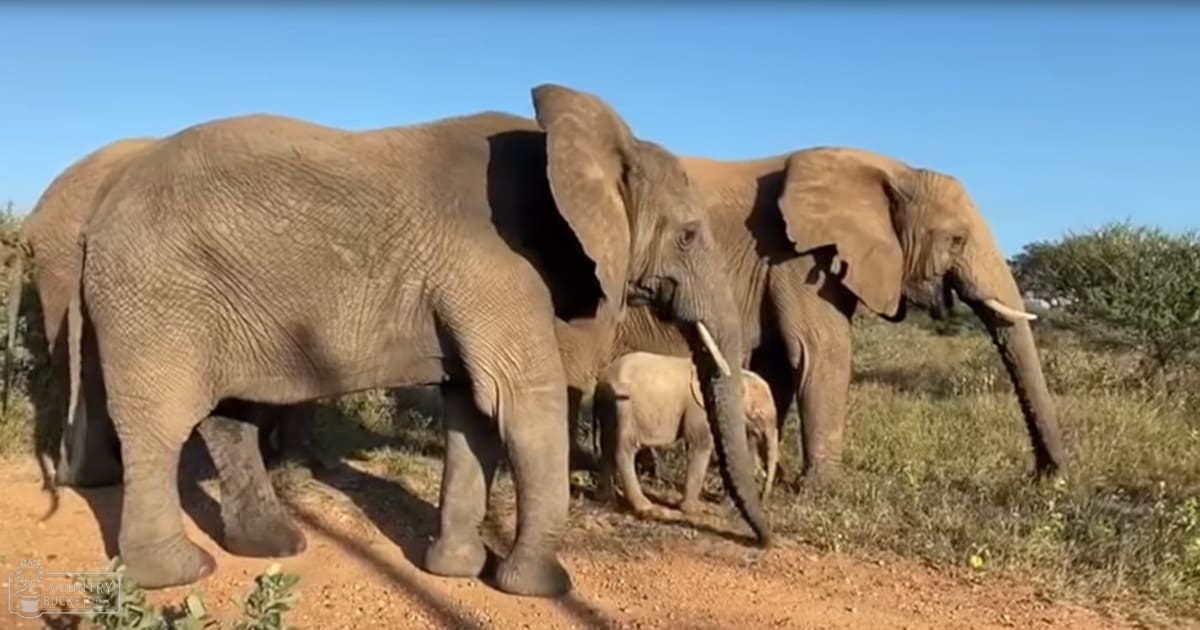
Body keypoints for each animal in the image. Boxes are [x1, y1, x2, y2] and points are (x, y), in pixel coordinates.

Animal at [593, 351, 778, 517]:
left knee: (606, 446)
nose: (763, 502)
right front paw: (695, 510)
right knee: (624, 448)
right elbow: (701, 444)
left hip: (609, 408)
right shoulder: (701, 409)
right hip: (624, 406)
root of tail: (601, 380)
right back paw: (645, 507)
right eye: (759, 414)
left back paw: (607, 500)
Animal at [610, 146, 1065, 485]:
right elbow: (820, 350)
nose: (1044, 478)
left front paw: (773, 477)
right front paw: (822, 488)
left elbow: (777, 365)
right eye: (957, 240)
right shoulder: (794, 256)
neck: (894, 172)